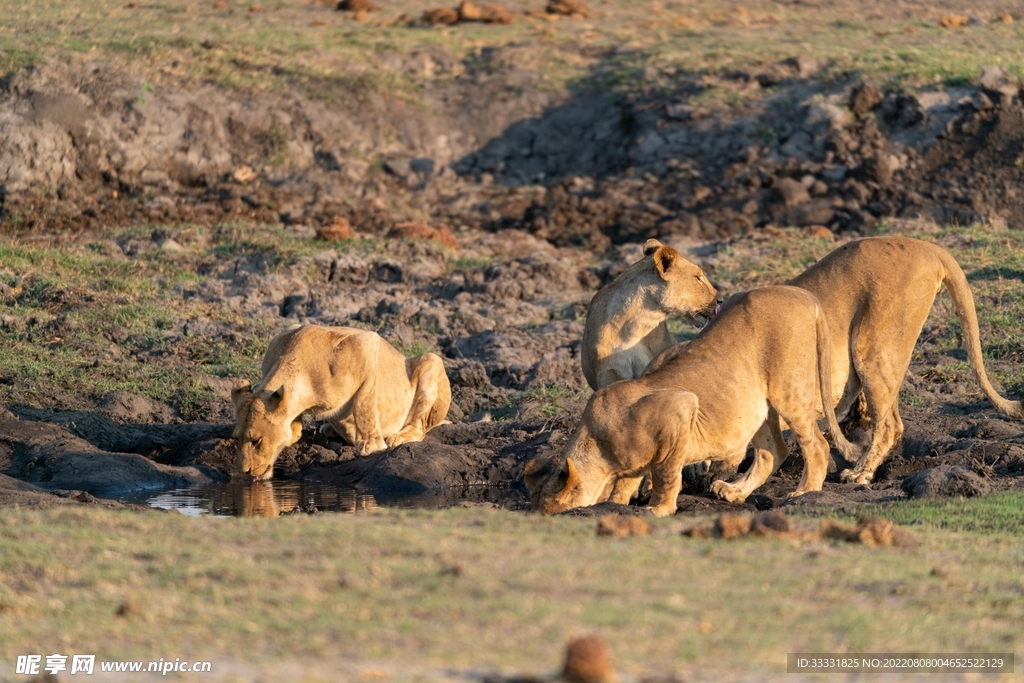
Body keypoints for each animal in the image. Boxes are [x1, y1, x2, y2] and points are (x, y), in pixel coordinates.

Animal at [234, 325, 454, 481]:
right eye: (237, 439)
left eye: (256, 441)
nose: (245, 471)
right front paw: (295, 430)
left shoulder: (368, 343)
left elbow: (365, 403)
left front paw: (371, 444)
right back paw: (329, 429)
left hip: (431, 359)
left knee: (420, 427)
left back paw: (398, 436)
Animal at [524, 284, 860, 518]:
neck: (597, 443)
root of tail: (804, 296)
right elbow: (627, 483)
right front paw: (617, 505)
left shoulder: (680, 407)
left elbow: (665, 473)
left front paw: (658, 509)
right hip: (758, 404)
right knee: (772, 452)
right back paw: (734, 493)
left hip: (788, 389)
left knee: (817, 445)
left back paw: (804, 493)